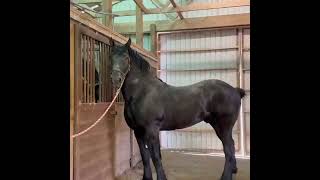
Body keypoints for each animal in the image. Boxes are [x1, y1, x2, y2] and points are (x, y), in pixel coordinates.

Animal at [110, 38, 245, 180]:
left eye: (126, 58)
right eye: (111, 57)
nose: (116, 79)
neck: (142, 92)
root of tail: (235, 90)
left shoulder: (152, 130)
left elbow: (156, 157)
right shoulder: (138, 131)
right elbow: (145, 156)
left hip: (224, 126)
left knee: (228, 149)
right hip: (218, 126)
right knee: (230, 147)